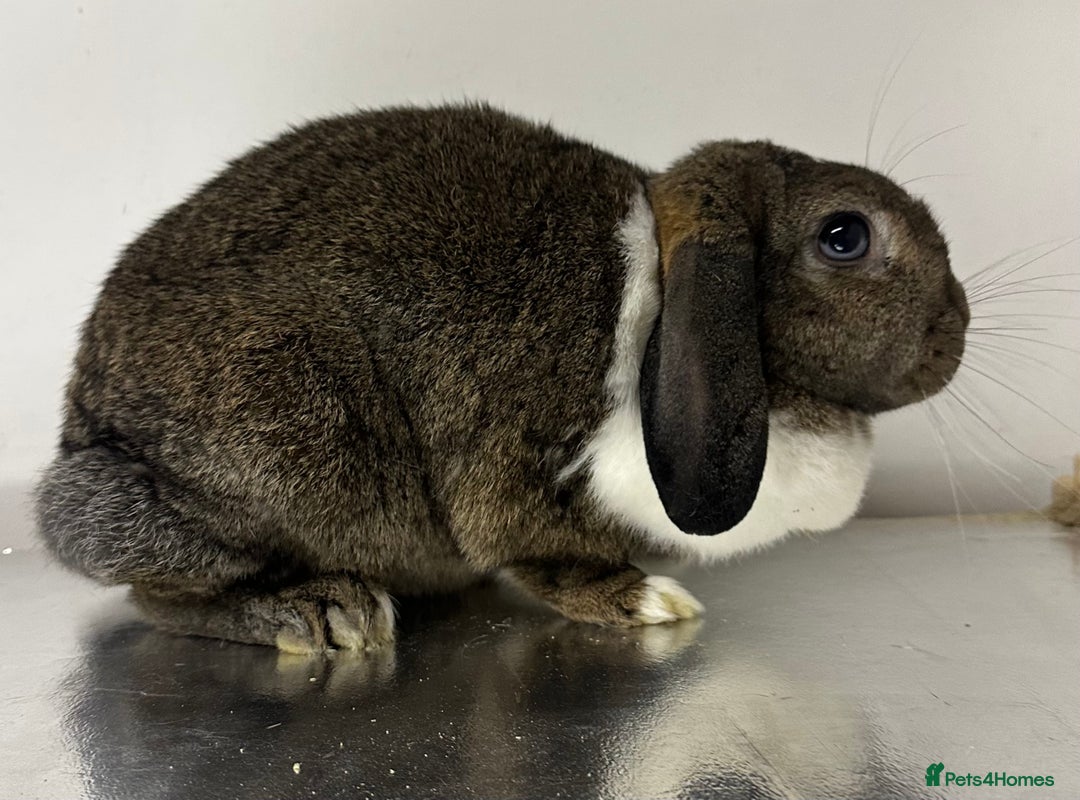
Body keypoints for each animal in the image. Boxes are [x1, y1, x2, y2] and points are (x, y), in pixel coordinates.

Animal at [35, 104, 969, 653]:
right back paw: (319, 613)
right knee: (154, 589)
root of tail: (82, 433)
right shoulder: (523, 483)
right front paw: (649, 603)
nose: (955, 330)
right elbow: (552, 563)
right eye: (845, 236)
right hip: (283, 437)